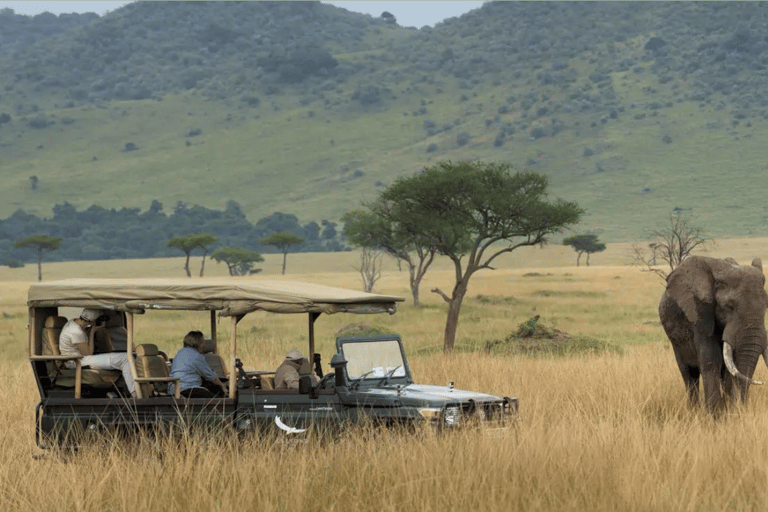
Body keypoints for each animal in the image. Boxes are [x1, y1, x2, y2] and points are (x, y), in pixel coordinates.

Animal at [660, 256, 768, 416]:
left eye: (766, 307)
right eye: (729, 306)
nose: (739, 410)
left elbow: (732, 367)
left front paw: (729, 413)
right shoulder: (701, 315)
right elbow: (711, 360)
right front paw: (716, 416)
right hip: (675, 341)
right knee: (688, 374)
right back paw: (694, 412)